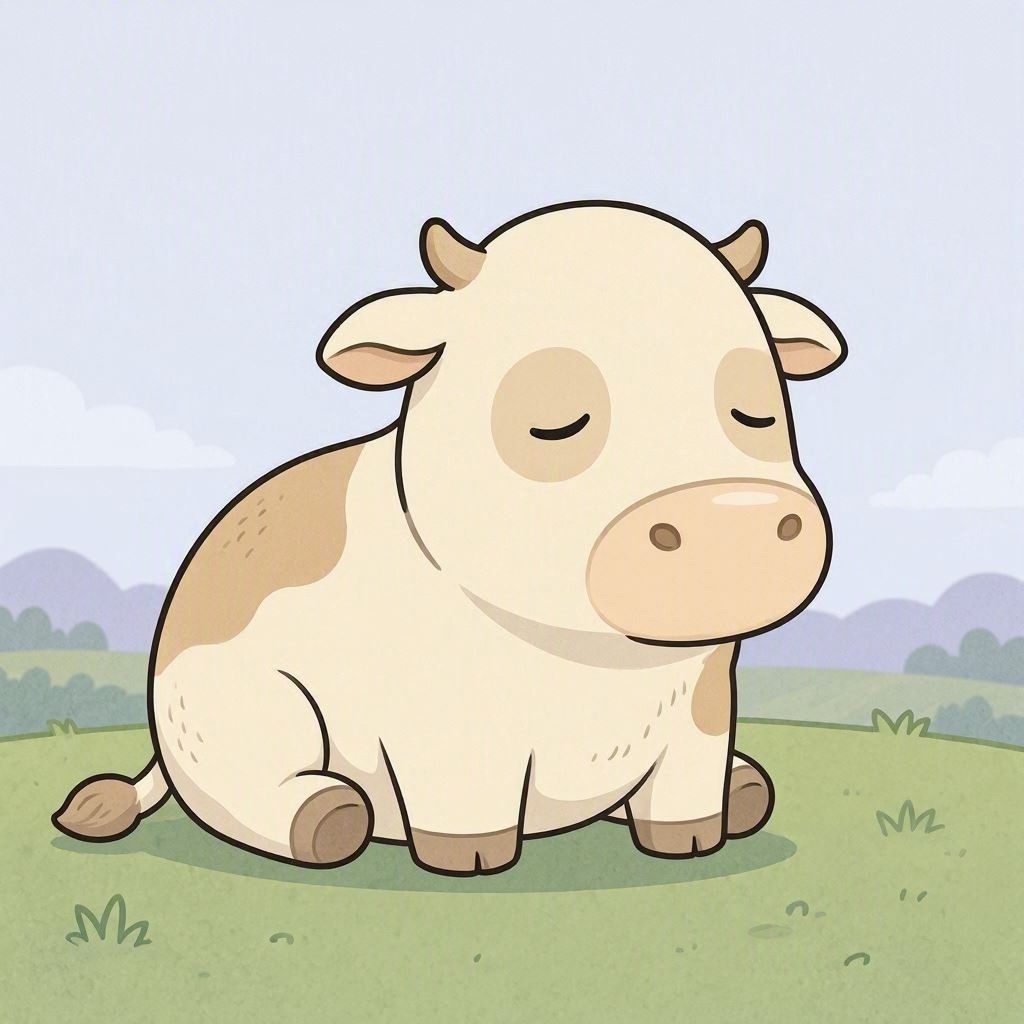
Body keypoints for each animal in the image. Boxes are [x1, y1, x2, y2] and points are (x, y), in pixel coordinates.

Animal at [53, 201, 846, 876]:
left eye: (755, 410)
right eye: (554, 421)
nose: (732, 508)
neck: (594, 659)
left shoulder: (704, 698)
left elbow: (684, 791)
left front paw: (691, 845)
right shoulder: (441, 717)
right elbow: (464, 803)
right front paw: (471, 863)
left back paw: (747, 792)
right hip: (238, 706)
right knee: (259, 788)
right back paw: (331, 818)